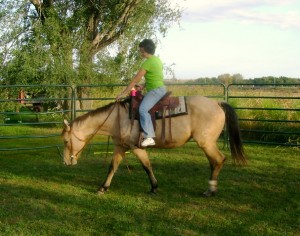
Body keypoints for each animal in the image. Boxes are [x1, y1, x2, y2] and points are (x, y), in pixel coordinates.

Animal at [61, 95, 246, 196]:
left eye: (65, 141)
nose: (66, 162)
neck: (117, 118)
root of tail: (216, 103)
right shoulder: (120, 147)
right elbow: (112, 167)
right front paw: (103, 187)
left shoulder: (136, 147)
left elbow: (146, 166)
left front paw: (154, 187)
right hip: (207, 144)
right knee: (214, 162)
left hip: (206, 143)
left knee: (219, 160)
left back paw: (211, 190)